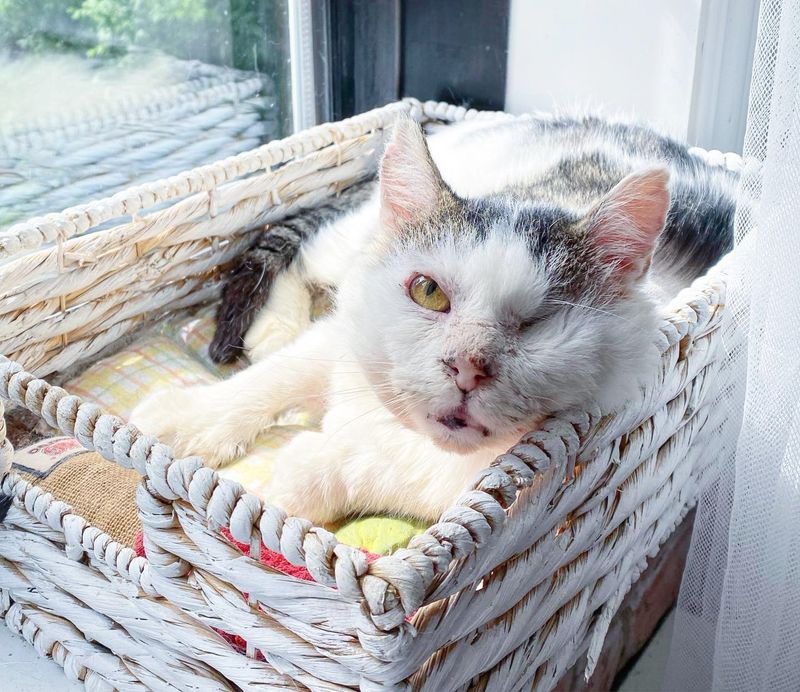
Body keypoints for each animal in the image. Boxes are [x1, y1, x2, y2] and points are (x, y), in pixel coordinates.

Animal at [131, 116, 736, 520]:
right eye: (428, 292)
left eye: (539, 321)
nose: (467, 366)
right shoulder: (351, 323)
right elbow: (279, 375)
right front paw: (191, 417)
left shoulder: (529, 464)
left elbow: (420, 472)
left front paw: (308, 473)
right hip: (360, 237)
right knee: (309, 252)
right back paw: (275, 326)